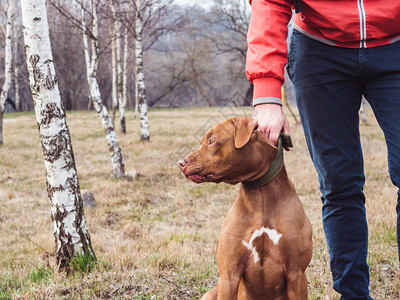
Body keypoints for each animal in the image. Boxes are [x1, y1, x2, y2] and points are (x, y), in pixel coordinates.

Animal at [178, 117, 312, 300]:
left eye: (211, 141)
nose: (181, 162)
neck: (259, 193)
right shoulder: (228, 276)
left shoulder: (296, 273)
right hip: (211, 293)